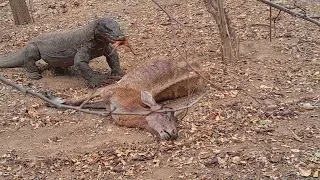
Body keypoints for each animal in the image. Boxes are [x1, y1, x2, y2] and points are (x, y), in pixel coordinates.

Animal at [62, 57, 202, 140]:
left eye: (176, 120)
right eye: (164, 113)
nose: (173, 133)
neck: (127, 107)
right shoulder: (110, 91)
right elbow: (93, 93)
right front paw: (62, 101)